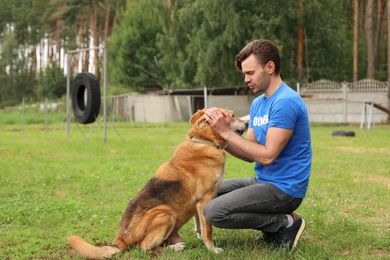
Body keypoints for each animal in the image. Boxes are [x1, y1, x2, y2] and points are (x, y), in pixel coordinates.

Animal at [68, 107, 247, 258]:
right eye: (232, 115)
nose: (247, 123)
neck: (204, 142)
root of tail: (121, 240)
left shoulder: (198, 203)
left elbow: (199, 225)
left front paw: (201, 239)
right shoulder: (205, 199)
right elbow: (207, 230)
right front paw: (212, 249)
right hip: (165, 214)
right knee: (144, 247)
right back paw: (176, 248)